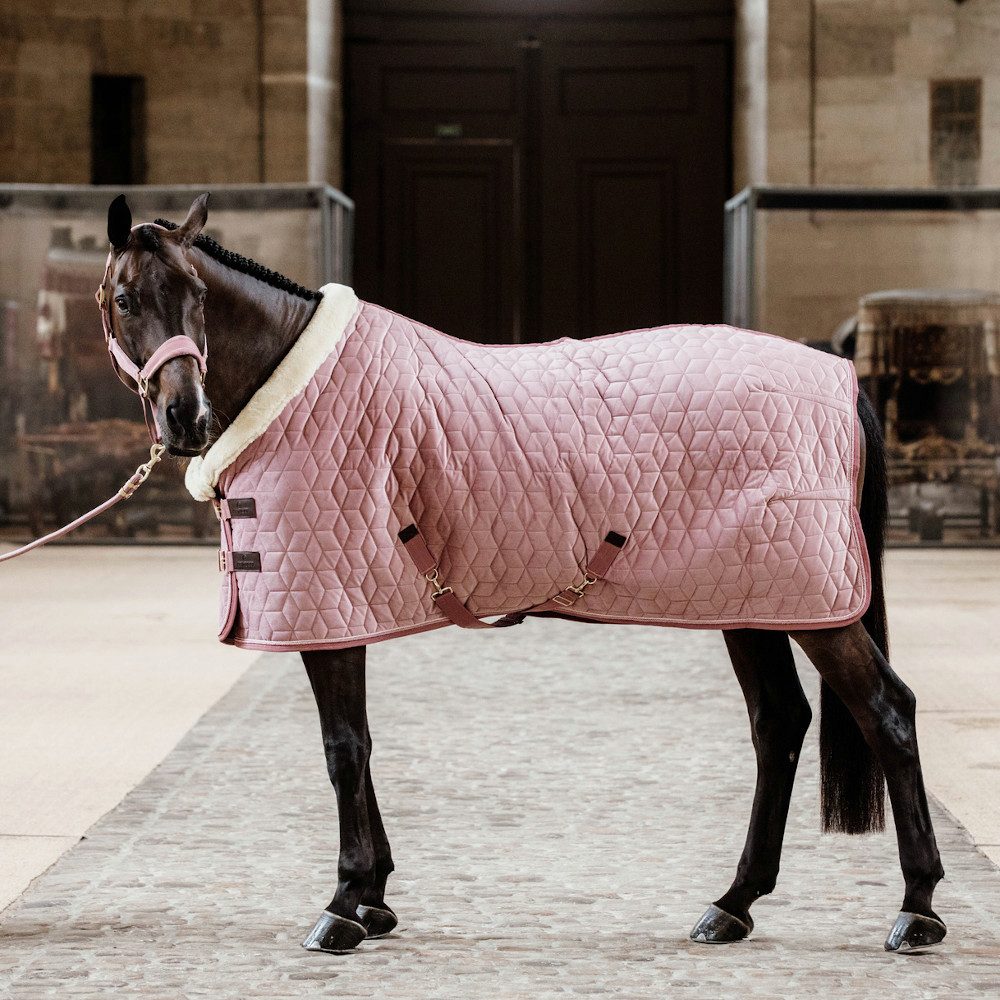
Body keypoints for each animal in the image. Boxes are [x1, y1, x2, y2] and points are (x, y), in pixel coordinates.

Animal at [97, 192, 945, 955]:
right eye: (128, 298)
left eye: (199, 297)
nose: (186, 418)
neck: (298, 385)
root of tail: (842, 377)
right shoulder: (348, 605)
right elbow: (361, 746)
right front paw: (374, 899)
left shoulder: (328, 610)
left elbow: (342, 749)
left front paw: (343, 905)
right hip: (752, 598)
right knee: (779, 724)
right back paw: (733, 904)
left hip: (814, 606)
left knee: (886, 711)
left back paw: (917, 908)